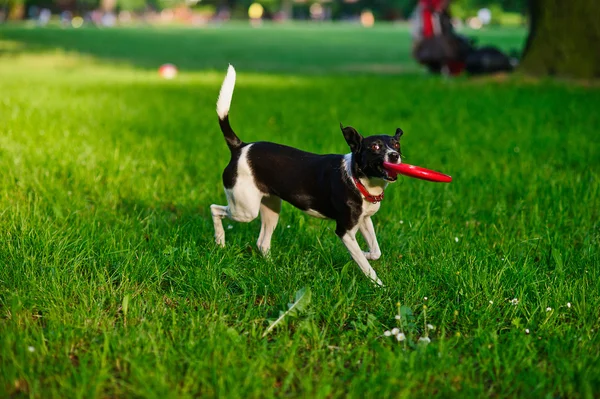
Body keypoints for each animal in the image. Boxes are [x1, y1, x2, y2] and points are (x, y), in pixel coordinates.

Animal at [211, 65, 404, 286]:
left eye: (396, 144)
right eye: (375, 147)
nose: (395, 155)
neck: (358, 180)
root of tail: (240, 147)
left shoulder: (364, 220)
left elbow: (375, 251)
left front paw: (365, 253)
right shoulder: (345, 231)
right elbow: (365, 265)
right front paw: (378, 284)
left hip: (271, 208)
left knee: (262, 243)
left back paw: (273, 269)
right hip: (244, 210)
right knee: (215, 209)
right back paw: (220, 243)